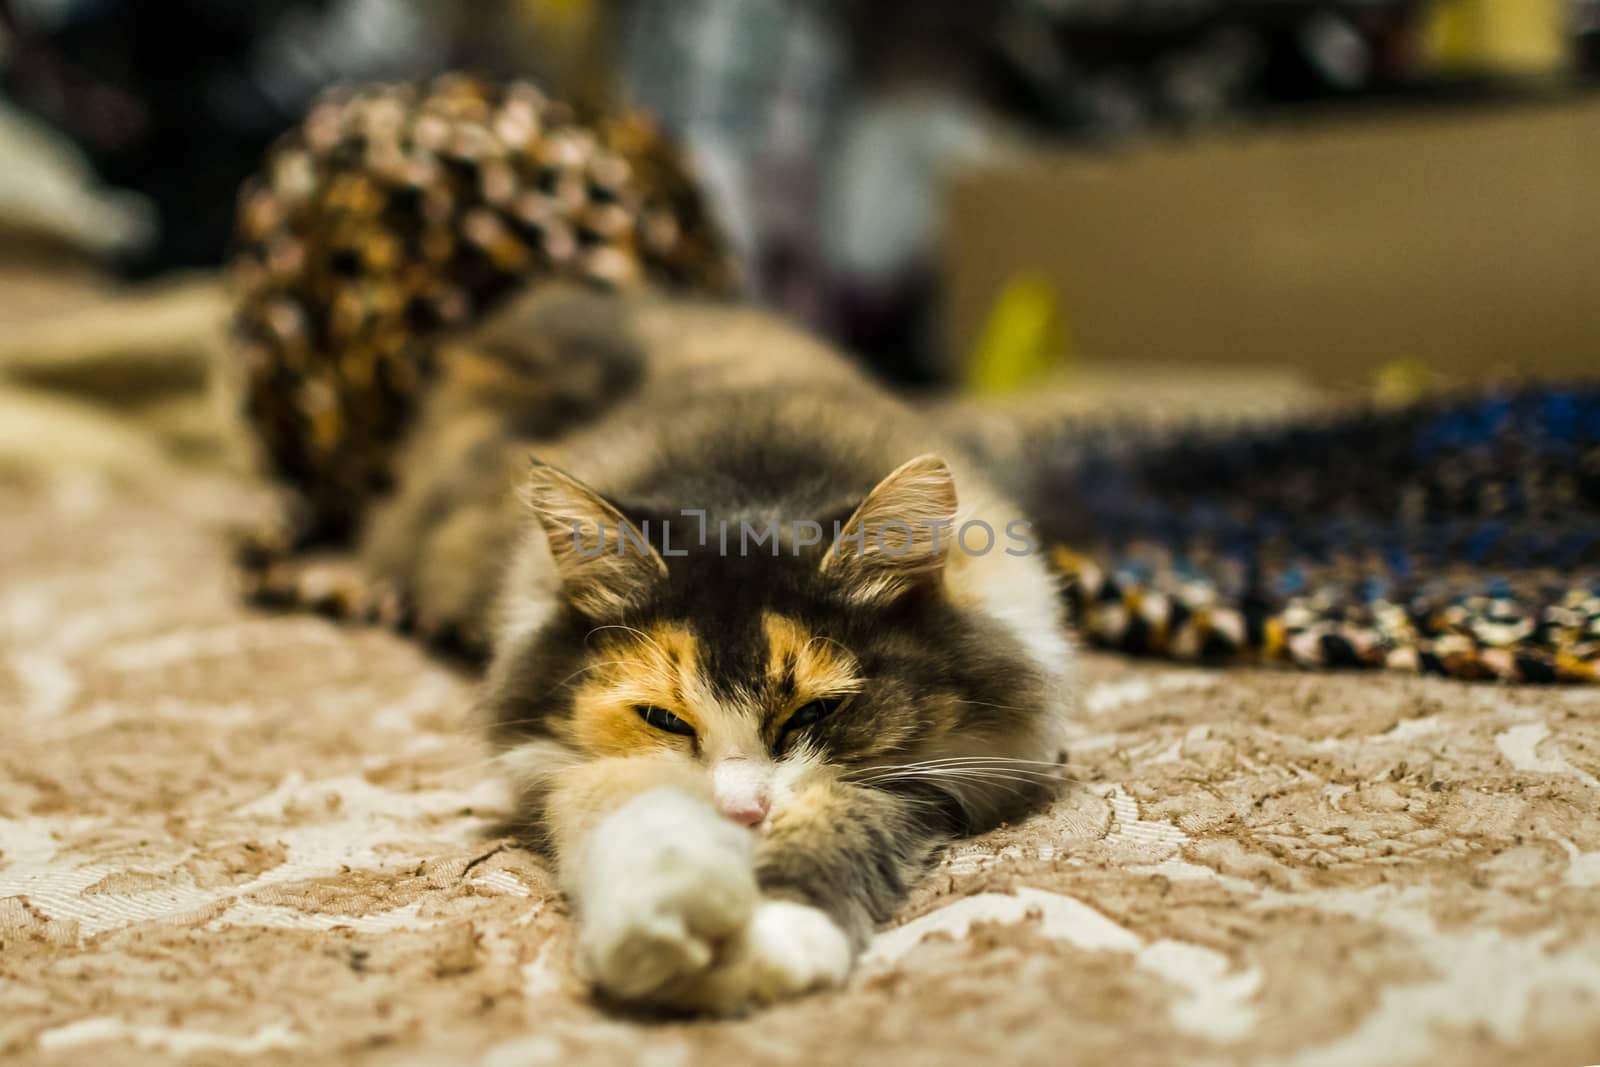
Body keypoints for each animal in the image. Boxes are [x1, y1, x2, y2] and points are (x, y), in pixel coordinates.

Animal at [337, 287, 1075, 1017]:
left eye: (813, 714)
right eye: (665, 719)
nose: (743, 814)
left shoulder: (931, 772)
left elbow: (839, 824)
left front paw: (778, 938)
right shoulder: (562, 758)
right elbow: (628, 810)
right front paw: (662, 922)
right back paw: (383, 598)